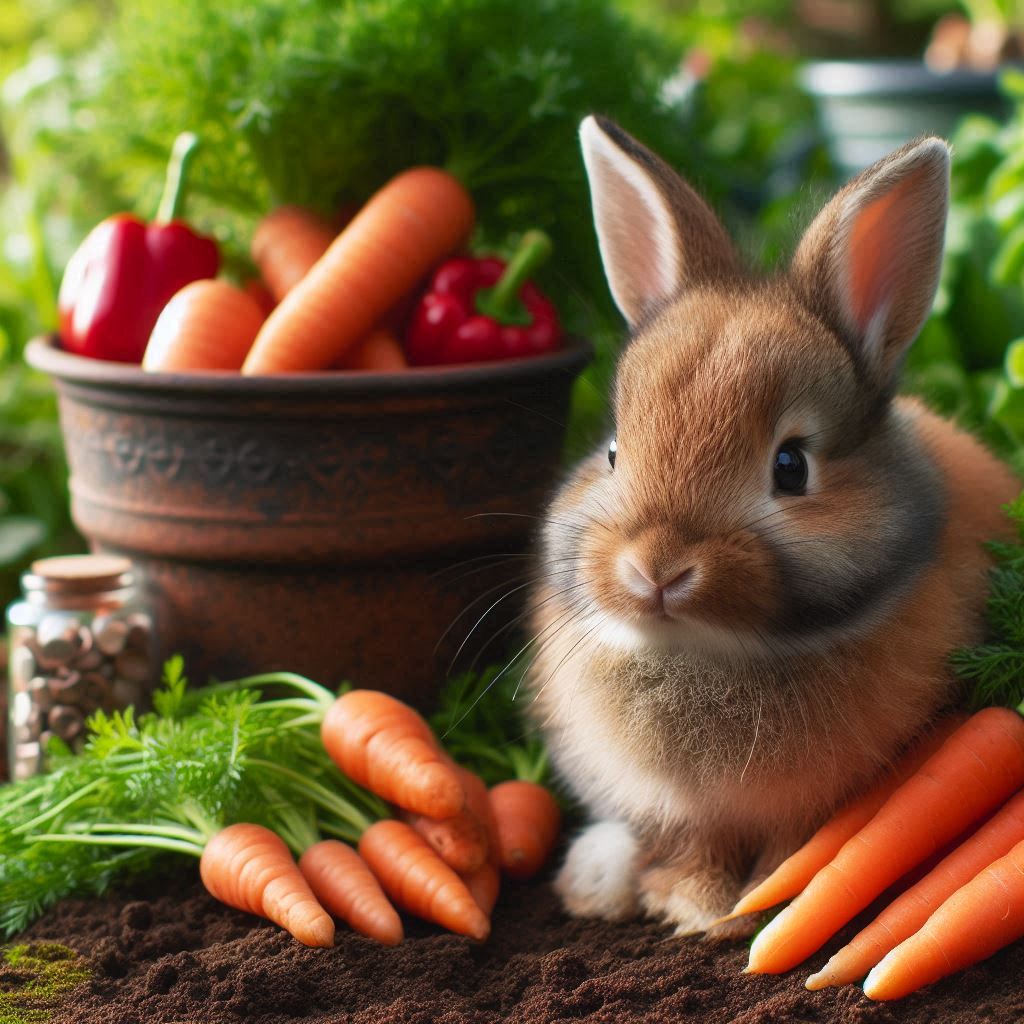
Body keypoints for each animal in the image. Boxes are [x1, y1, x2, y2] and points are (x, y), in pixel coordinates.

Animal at [525, 116, 1021, 939]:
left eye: (791, 466)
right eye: (614, 451)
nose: (655, 568)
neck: (707, 654)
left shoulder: (816, 806)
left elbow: (794, 853)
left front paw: (738, 914)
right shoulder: (682, 813)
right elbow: (695, 844)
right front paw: (692, 906)